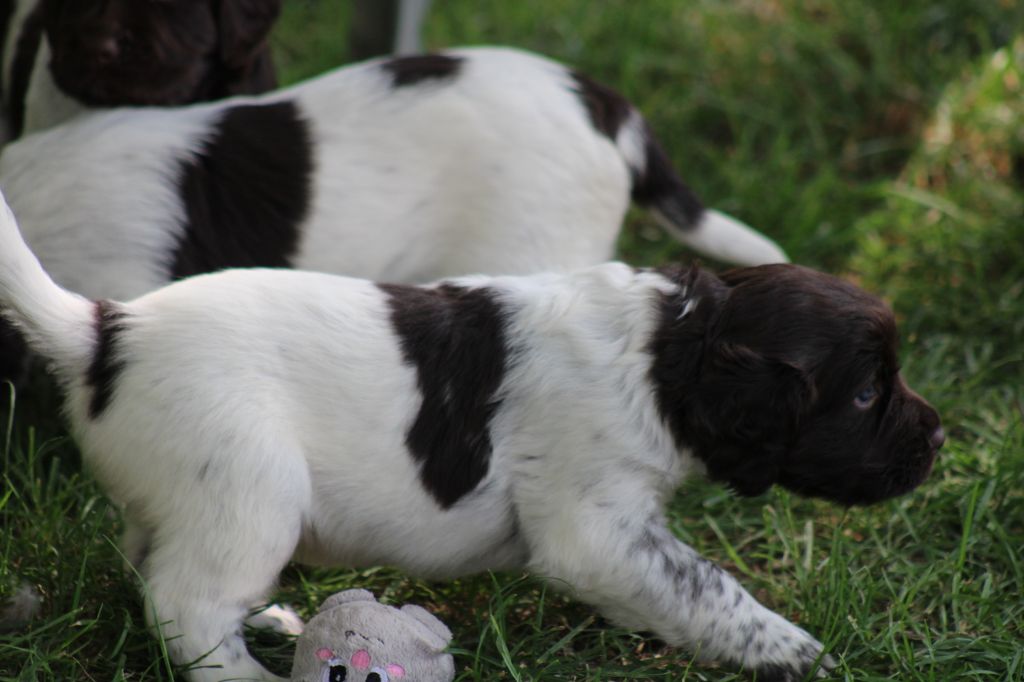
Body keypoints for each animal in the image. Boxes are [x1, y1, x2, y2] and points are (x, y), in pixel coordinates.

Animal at [0, 188, 942, 675]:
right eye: (866, 395)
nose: (937, 442)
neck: (664, 353)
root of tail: (104, 331)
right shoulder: (597, 531)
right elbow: (705, 587)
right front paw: (791, 648)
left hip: (193, 499)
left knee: (155, 569)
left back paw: (265, 616)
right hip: (249, 485)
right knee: (185, 606)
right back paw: (244, 670)